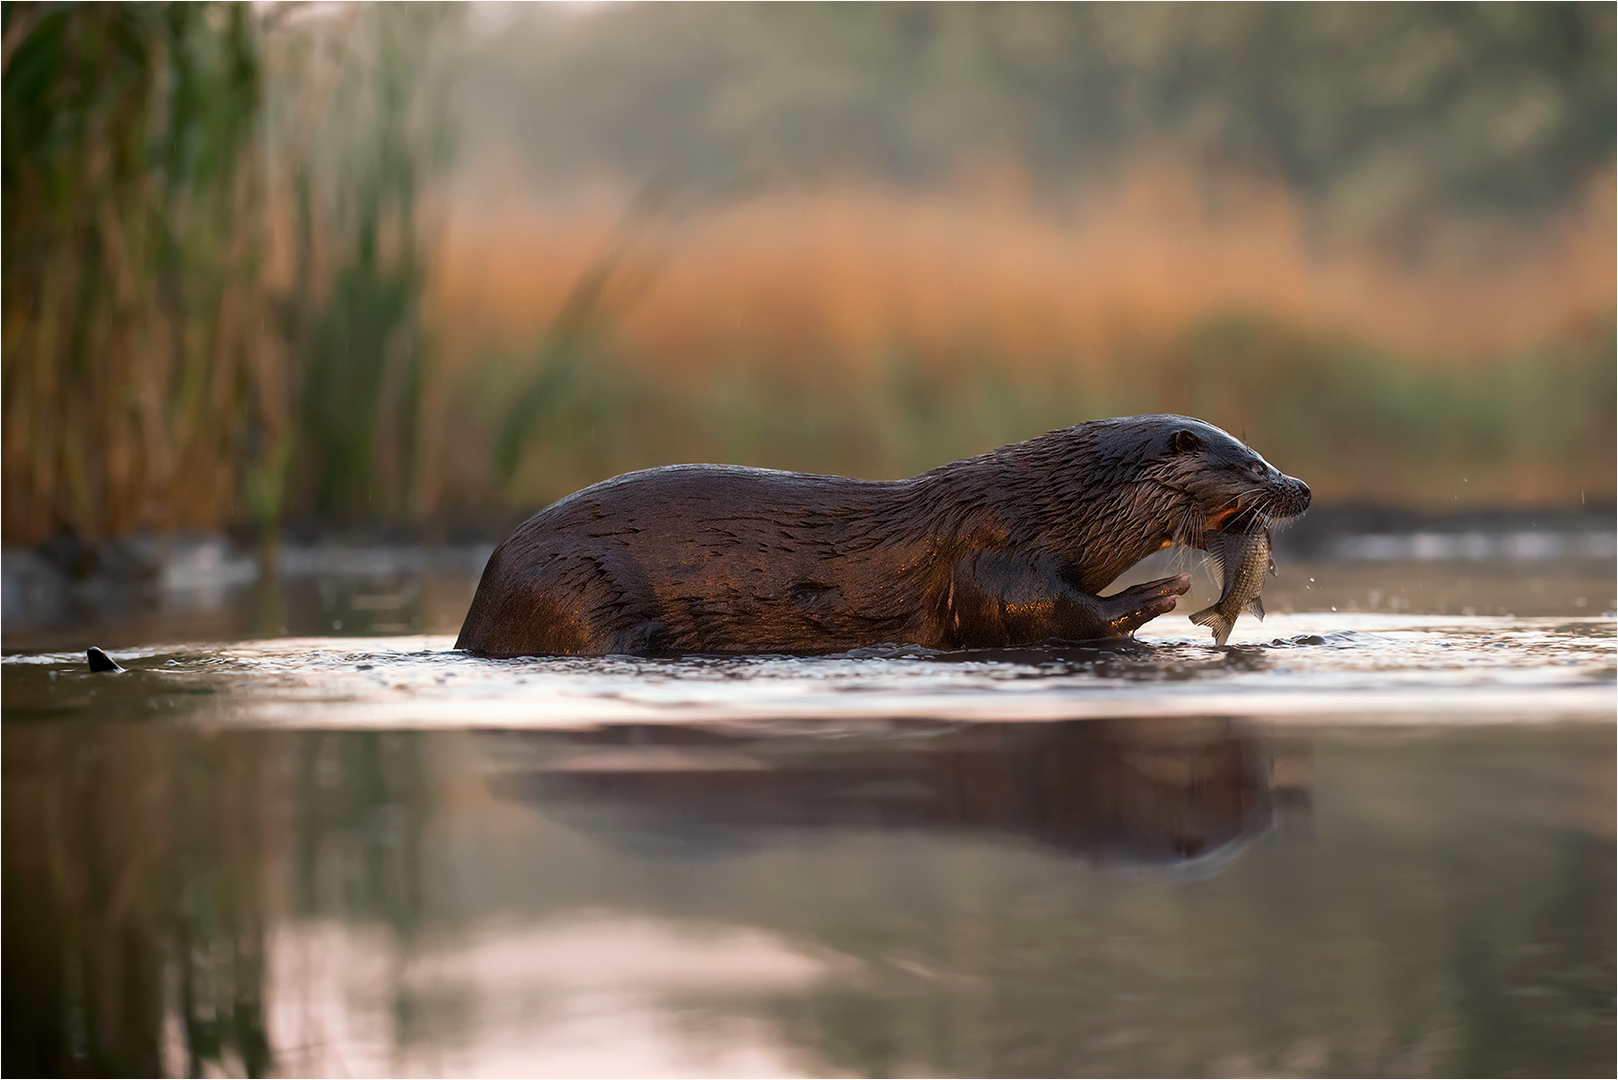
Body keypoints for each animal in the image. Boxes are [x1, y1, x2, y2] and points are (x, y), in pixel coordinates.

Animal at [449, 417, 1307, 660]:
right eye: (1251, 463)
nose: (1298, 486)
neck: (1047, 504)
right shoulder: (989, 552)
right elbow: (1036, 611)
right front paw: (1159, 590)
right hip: (576, 588)